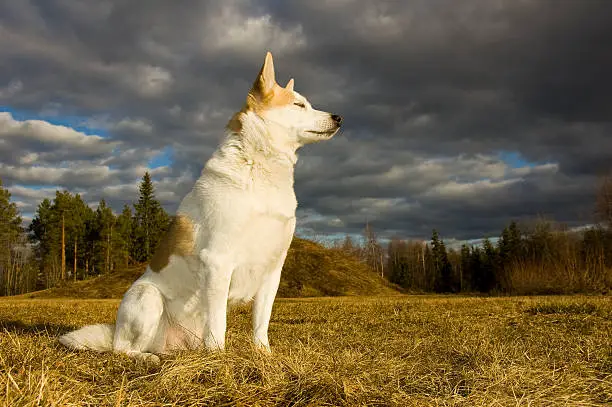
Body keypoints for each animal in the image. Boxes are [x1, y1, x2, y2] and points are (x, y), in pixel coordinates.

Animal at [59, 51, 342, 364]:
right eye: (298, 104)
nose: (339, 117)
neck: (260, 172)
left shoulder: (272, 269)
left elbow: (261, 322)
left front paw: (263, 355)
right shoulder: (218, 261)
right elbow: (219, 324)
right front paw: (219, 359)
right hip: (148, 299)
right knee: (122, 349)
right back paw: (146, 358)